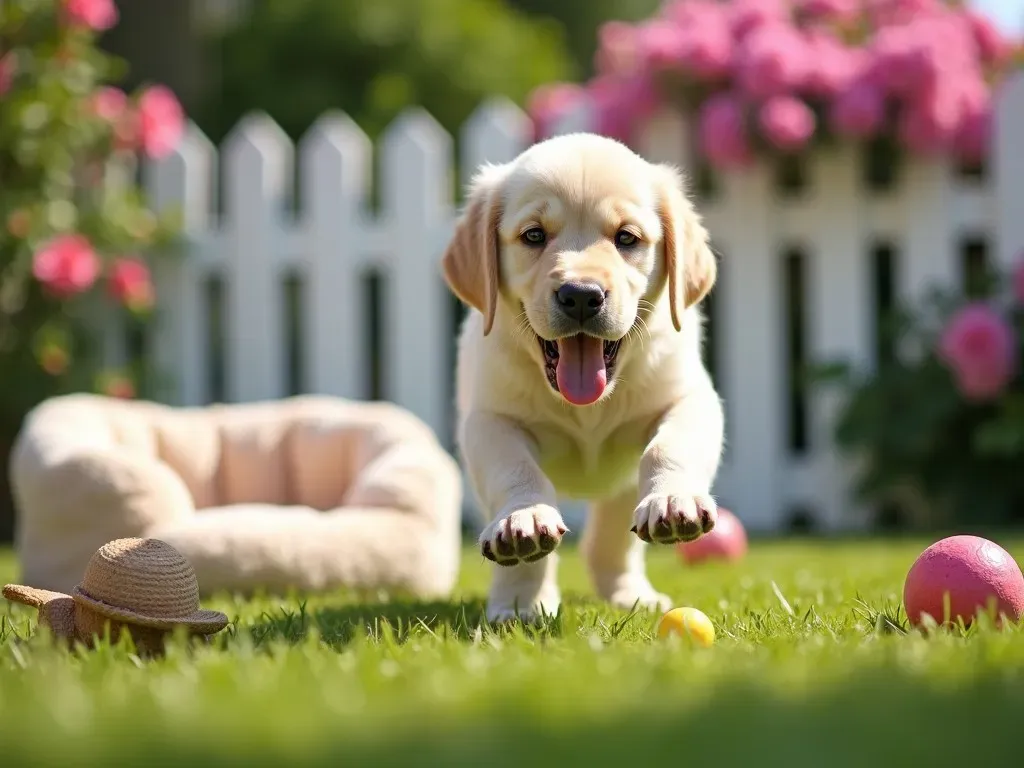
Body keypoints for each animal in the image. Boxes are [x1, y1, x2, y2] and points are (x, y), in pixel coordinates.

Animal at [444, 132, 724, 626]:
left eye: (626, 238)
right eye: (533, 235)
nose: (580, 295)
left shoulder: (690, 399)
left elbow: (670, 446)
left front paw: (674, 501)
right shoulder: (490, 422)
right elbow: (517, 471)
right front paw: (524, 519)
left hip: (620, 486)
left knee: (610, 539)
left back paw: (630, 594)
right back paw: (520, 604)